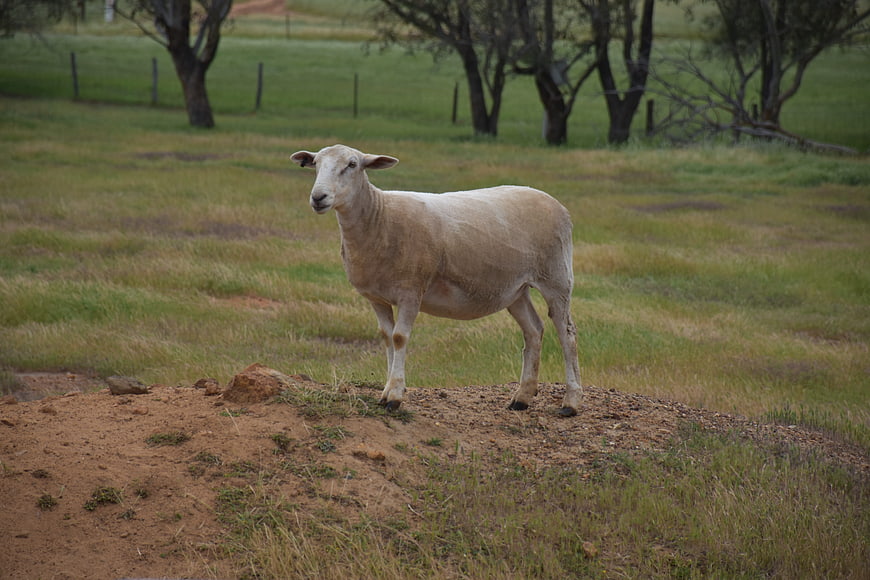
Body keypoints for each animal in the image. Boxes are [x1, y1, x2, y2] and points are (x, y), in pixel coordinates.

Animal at [290, 144, 583, 416]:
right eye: (316, 163)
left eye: (352, 164)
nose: (318, 197)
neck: (379, 216)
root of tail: (556, 203)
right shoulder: (377, 297)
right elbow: (386, 338)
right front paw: (385, 392)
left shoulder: (411, 291)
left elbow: (399, 338)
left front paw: (395, 396)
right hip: (515, 289)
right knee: (533, 330)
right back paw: (522, 398)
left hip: (556, 277)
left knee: (566, 333)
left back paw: (571, 402)